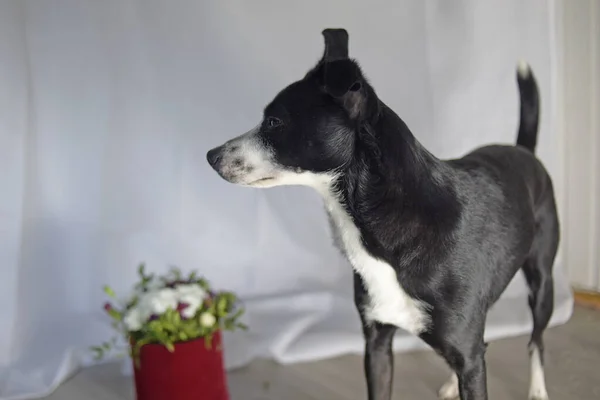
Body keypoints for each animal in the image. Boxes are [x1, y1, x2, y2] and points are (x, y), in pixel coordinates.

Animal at [206, 28, 556, 400]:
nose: (211, 156)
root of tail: (522, 151)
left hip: (542, 285)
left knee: (536, 341)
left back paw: (537, 390)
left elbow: (481, 357)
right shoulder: (376, 344)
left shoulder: (471, 358)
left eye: (273, 122)